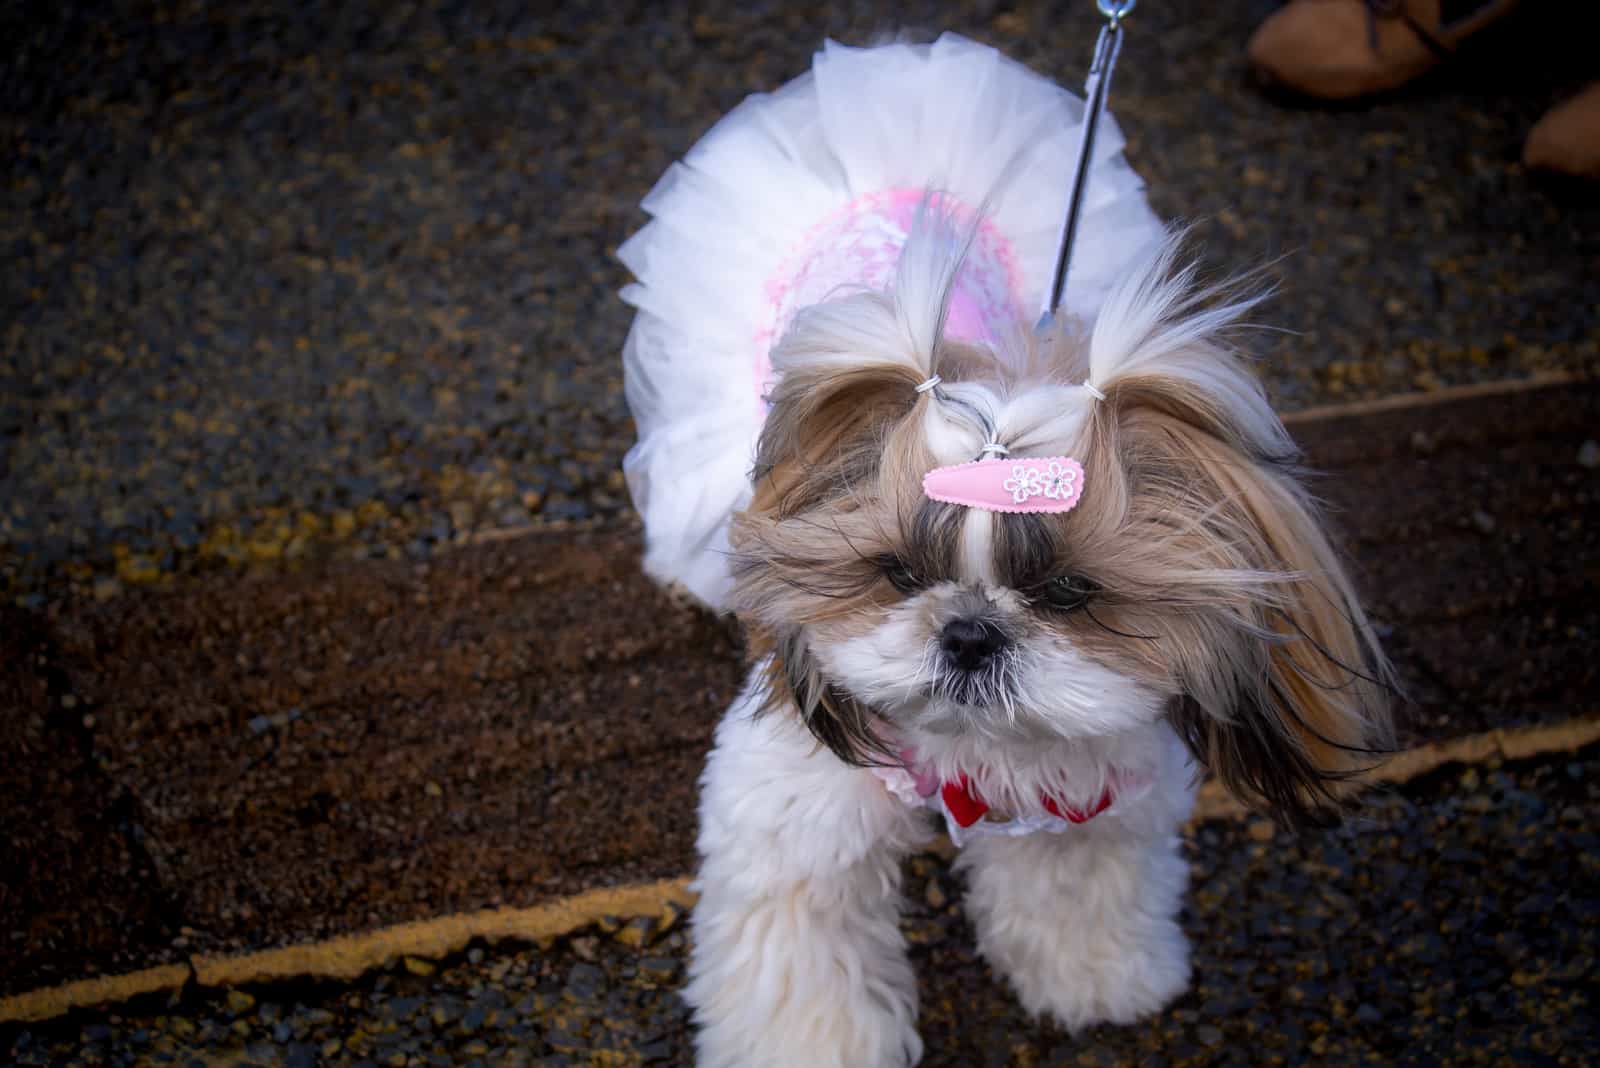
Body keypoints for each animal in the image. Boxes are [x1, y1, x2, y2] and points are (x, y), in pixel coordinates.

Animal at [617, 35, 1395, 1068]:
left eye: (1069, 590)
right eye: (898, 575)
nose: (971, 633)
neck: (970, 753)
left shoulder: (1087, 795)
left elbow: (1074, 892)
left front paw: (1098, 977)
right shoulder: (794, 810)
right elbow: (803, 954)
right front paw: (816, 1044)